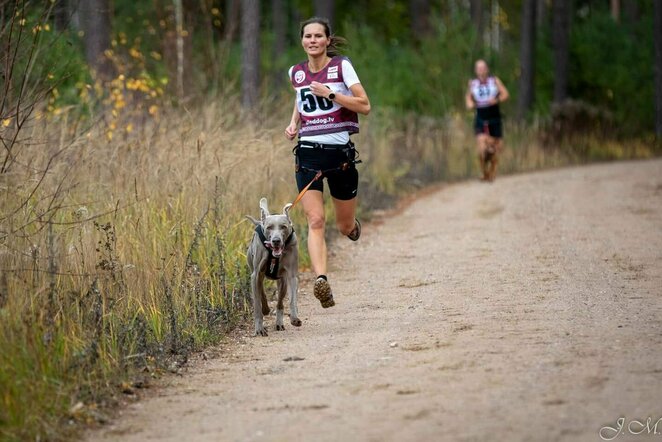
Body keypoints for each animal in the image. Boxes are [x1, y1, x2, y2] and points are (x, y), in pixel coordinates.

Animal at [246, 197, 304, 334]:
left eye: (283, 227)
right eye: (269, 227)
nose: (276, 241)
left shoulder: (291, 275)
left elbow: (291, 299)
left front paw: (294, 318)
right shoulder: (255, 275)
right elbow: (257, 304)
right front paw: (259, 328)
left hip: (282, 281)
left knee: (280, 302)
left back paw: (279, 323)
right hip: (257, 275)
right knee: (261, 291)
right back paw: (266, 309)